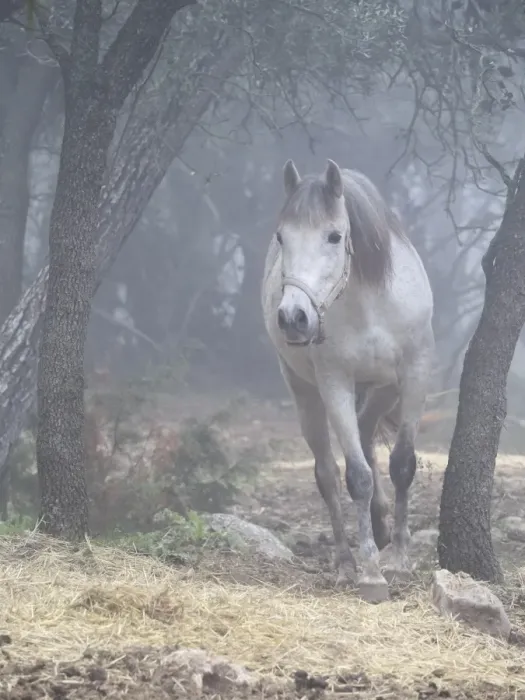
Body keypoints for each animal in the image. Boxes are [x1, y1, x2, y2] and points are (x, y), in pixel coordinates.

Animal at [261, 159, 434, 603]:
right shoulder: (334, 383)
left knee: (369, 437)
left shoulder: (414, 375)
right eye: (281, 236)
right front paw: (371, 573)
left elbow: (402, 464)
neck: (369, 304)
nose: (293, 317)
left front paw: (400, 560)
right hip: (305, 392)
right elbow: (356, 477)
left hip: (382, 391)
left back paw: (382, 523)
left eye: (334, 236)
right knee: (327, 473)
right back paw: (344, 561)